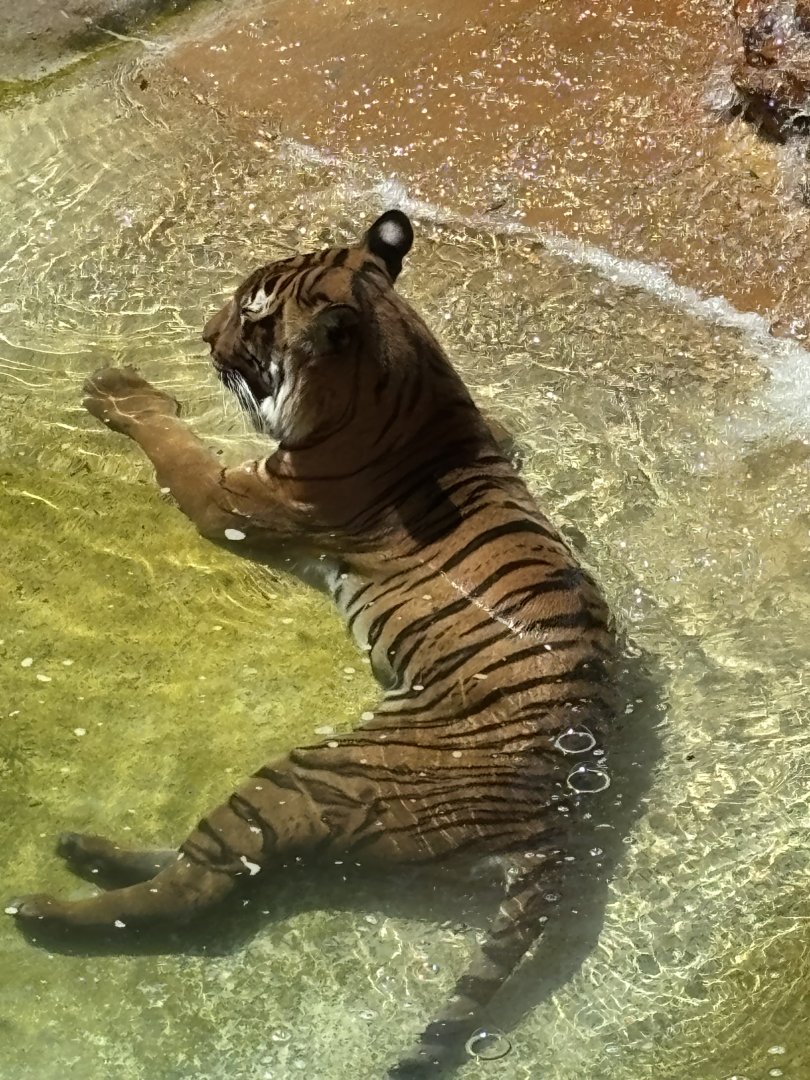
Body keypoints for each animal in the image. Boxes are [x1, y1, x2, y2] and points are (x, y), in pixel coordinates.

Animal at [8, 210, 617, 1078]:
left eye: (250, 314)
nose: (203, 333)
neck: (409, 385)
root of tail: (557, 825)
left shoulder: (230, 497)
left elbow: (173, 444)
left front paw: (119, 392)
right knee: (209, 859)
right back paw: (83, 845)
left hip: (310, 776)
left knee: (198, 888)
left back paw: (45, 908)